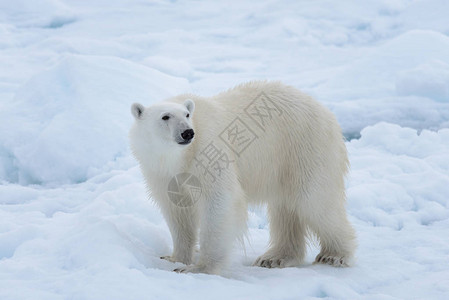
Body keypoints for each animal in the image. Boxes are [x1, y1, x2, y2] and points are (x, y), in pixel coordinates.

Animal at [128, 80, 356, 274]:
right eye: (165, 116)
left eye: (186, 115)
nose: (187, 133)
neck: (179, 158)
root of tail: (326, 113)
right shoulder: (161, 173)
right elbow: (178, 211)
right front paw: (174, 258)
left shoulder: (209, 150)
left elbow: (220, 200)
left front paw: (199, 268)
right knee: (286, 209)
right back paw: (275, 258)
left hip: (306, 148)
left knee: (315, 201)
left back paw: (334, 255)